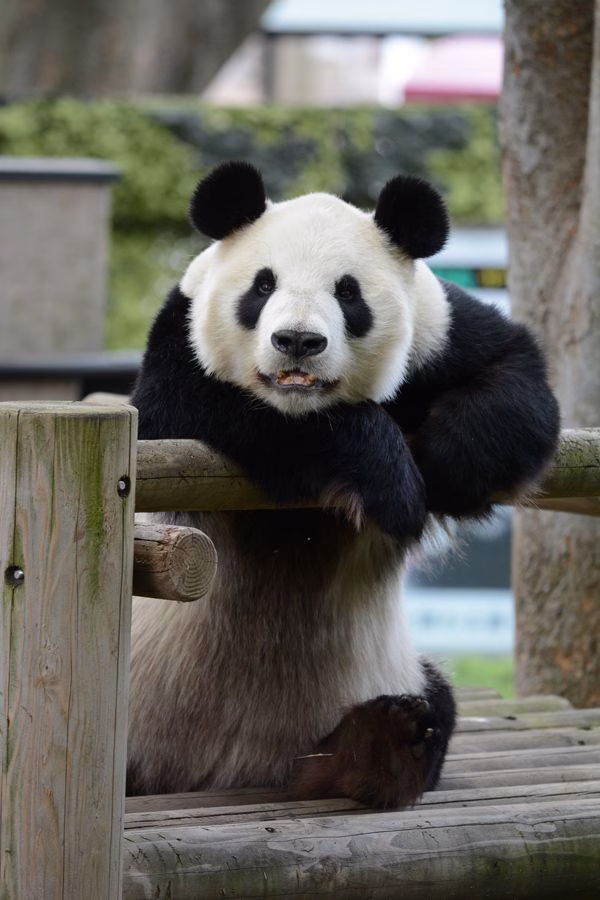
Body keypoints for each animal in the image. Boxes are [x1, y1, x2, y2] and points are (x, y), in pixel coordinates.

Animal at [127, 161, 560, 808]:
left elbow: (518, 380)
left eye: (348, 293)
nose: (298, 342)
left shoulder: (441, 334)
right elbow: (194, 411)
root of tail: (224, 773)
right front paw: (391, 479)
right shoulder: (180, 342)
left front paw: (447, 464)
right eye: (262, 286)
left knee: (434, 705)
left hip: (384, 674)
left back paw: (374, 749)